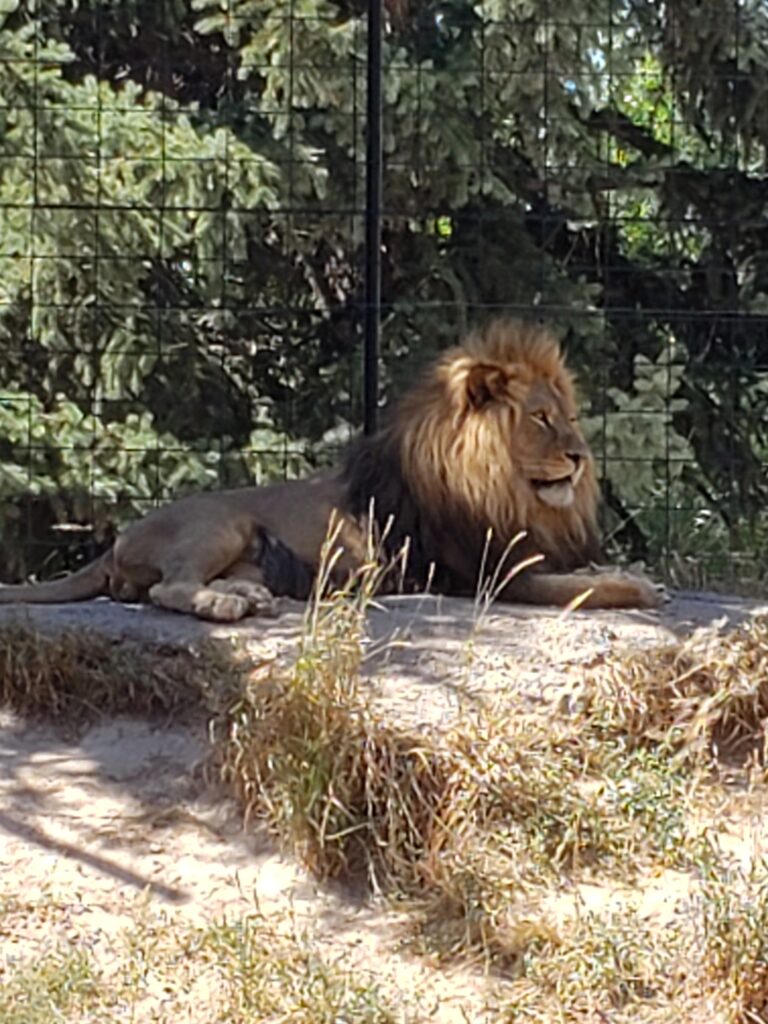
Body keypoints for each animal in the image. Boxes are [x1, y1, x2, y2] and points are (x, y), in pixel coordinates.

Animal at [0, 315, 663, 618]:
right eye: (541, 419)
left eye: (569, 416)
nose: (580, 458)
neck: (508, 489)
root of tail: (115, 543)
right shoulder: (487, 575)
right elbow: (584, 588)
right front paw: (638, 586)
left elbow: (586, 569)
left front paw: (626, 567)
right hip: (220, 523)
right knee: (168, 587)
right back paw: (225, 605)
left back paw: (248, 594)